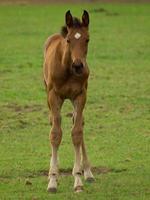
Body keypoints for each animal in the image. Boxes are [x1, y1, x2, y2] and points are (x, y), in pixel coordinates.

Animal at [42, 10, 94, 192]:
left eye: (87, 39)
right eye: (69, 40)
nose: (78, 66)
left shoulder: (80, 95)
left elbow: (77, 132)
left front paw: (78, 179)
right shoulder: (53, 96)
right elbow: (55, 134)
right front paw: (52, 179)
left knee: (78, 122)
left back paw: (88, 172)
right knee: (53, 122)